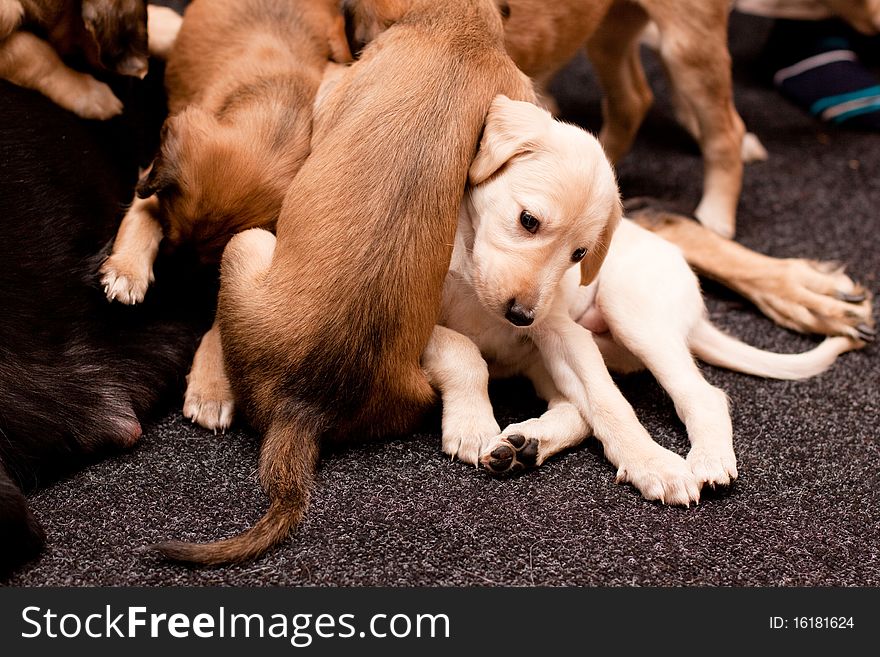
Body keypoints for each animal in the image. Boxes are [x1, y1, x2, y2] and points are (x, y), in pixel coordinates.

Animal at [100, 0, 354, 430]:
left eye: (210, 268)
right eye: (172, 238)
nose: (178, 291)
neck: (276, 119)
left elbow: (225, 320)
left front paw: (211, 387)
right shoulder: (153, 180)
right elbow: (141, 218)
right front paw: (126, 271)